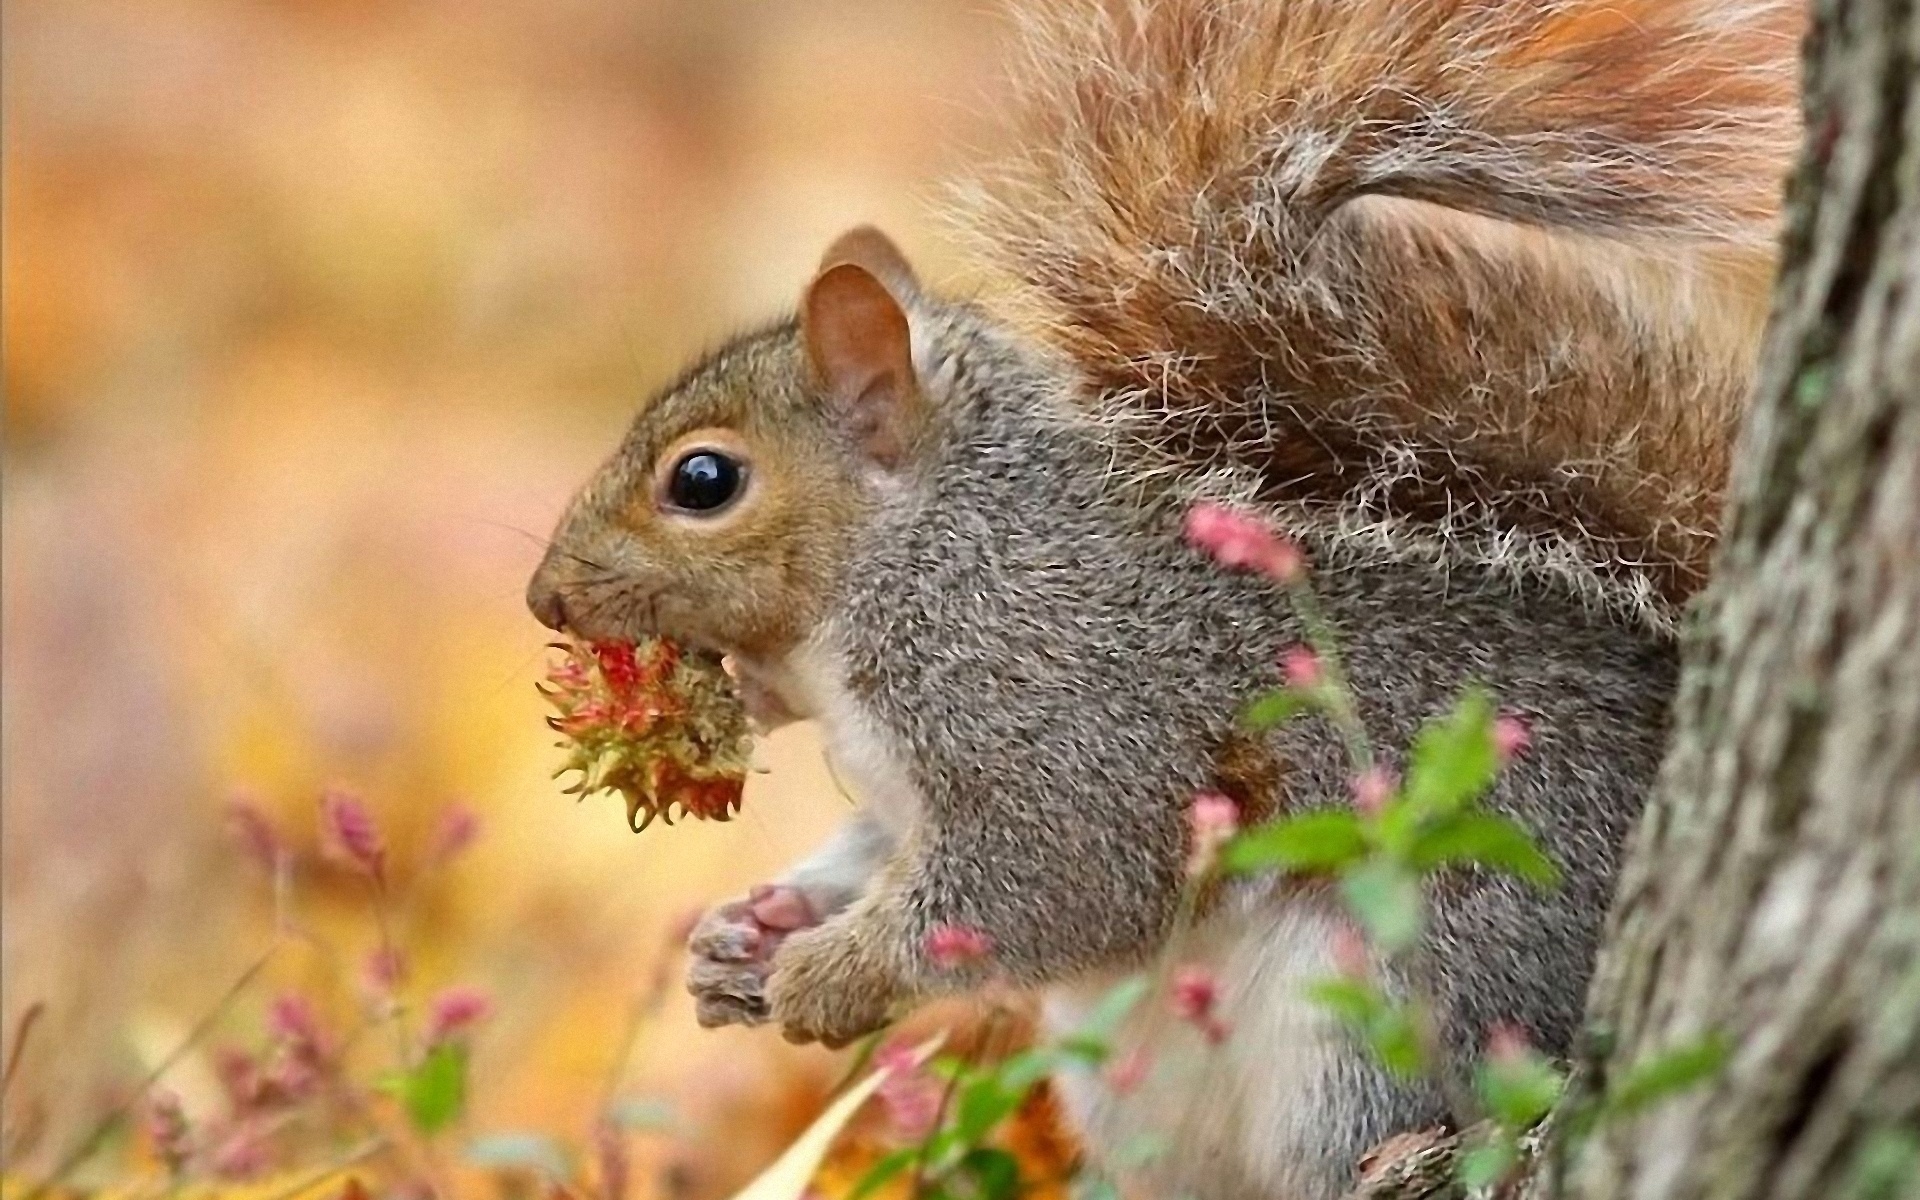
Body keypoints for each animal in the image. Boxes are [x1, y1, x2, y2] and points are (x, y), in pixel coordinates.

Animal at [525, 0, 1800, 1196]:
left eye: (703, 480)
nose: (545, 598)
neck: (925, 557)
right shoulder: (906, 781)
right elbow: (875, 848)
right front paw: (751, 931)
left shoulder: (1061, 709)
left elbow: (1050, 877)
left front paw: (833, 974)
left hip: (1393, 1003)